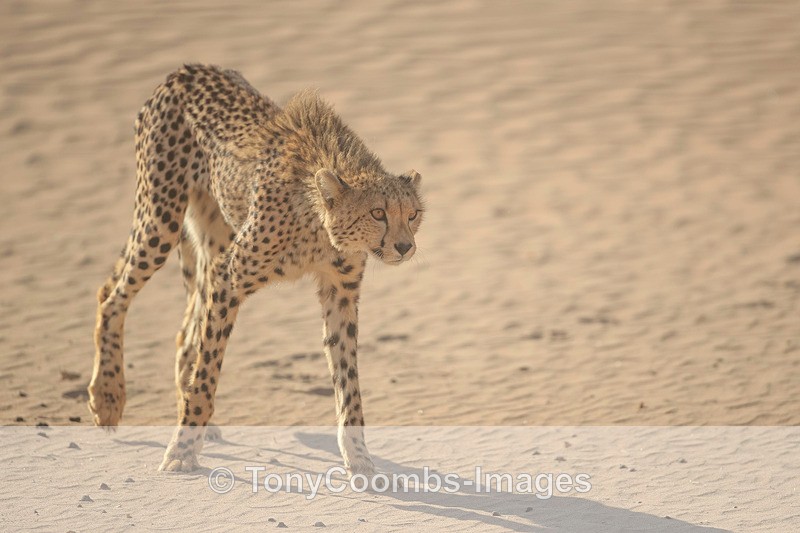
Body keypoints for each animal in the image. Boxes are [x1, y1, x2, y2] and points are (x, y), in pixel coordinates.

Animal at [87, 64, 424, 474]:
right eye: (378, 213)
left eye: (413, 214)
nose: (405, 247)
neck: (317, 221)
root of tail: (186, 70)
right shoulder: (228, 277)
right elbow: (208, 374)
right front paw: (182, 450)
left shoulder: (339, 292)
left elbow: (348, 380)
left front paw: (358, 456)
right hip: (161, 219)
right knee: (111, 295)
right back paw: (107, 398)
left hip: (211, 234)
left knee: (184, 333)